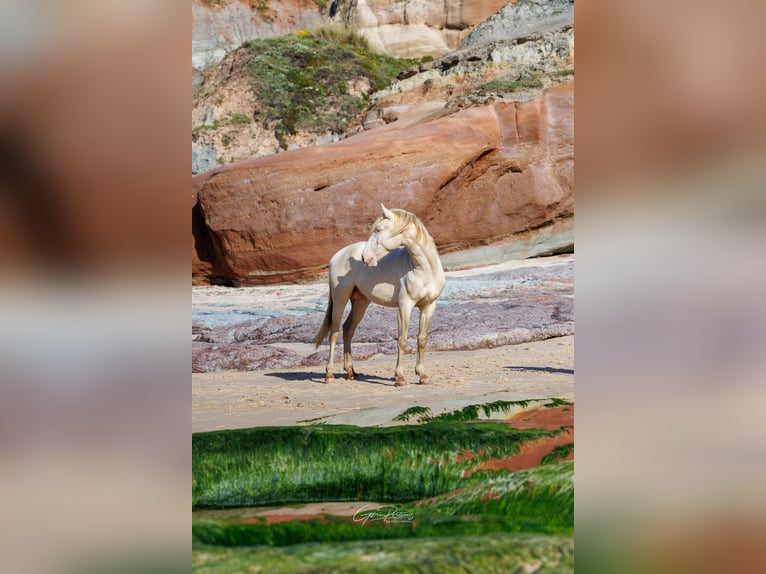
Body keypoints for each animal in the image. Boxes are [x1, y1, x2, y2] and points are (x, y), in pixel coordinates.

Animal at [313, 205, 446, 386]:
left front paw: (422, 375)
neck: (424, 269)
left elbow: (422, 339)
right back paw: (329, 375)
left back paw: (351, 372)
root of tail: (336, 256)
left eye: (378, 229)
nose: (365, 258)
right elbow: (402, 340)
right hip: (340, 300)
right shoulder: (405, 306)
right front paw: (400, 378)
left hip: (360, 303)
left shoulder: (429, 306)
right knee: (334, 333)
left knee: (348, 329)